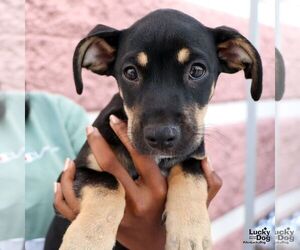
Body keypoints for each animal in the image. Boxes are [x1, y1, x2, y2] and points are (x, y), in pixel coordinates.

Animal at [44, 8, 262, 250]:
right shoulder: (68, 177)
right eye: (130, 73)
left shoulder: (195, 155)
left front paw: (190, 231)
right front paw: (87, 239)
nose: (161, 137)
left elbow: (190, 171)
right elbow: (108, 181)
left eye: (197, 70)